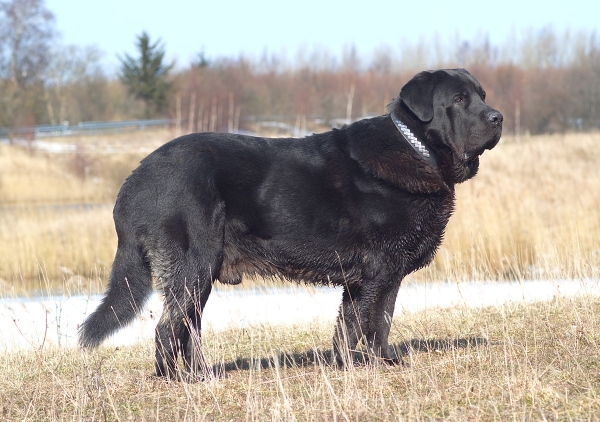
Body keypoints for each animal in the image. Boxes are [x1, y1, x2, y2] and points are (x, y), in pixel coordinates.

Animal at [79, 68, 502, 380]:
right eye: (459, 100)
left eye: (483, 94)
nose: (497, 117)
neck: (418, 150)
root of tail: (133, 181)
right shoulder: (380, 270)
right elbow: (372, 322)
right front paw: (373, 367)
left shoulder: (369, 278)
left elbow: (359, 325)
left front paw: (359, 365)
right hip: (191, 267)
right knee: (169, 329)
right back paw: (179, 381)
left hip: (198, 276)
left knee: (188, 329)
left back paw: (202, 374)